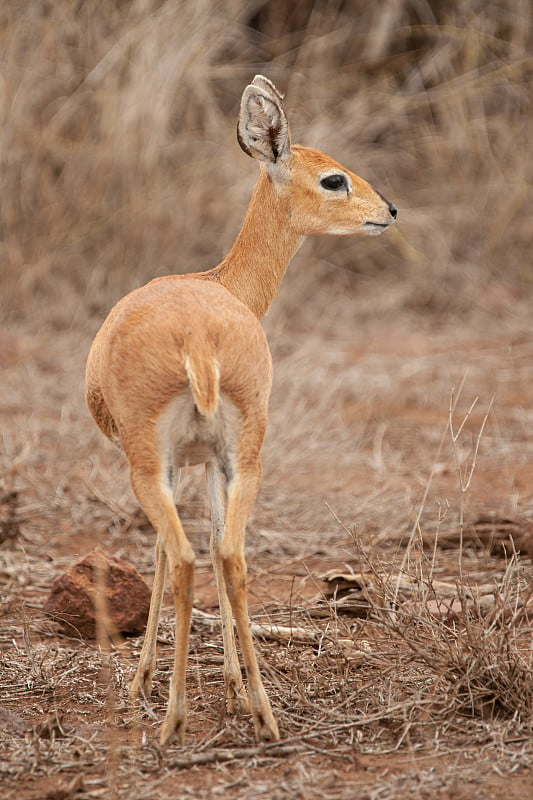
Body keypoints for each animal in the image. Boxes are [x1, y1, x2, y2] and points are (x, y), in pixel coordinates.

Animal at [86, 75, 394, 744]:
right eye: (333, 179)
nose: (388, 211)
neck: (220, 285)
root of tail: (199, 338)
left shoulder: (177, 464)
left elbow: (164, 551)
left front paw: (144, 680)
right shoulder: (210, 461)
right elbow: (215, 537)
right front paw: (232, 685)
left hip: (151, 465)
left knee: (182, 557)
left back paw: (174, 719)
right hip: (245, 457)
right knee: (233, 555)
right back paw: (265, 715)